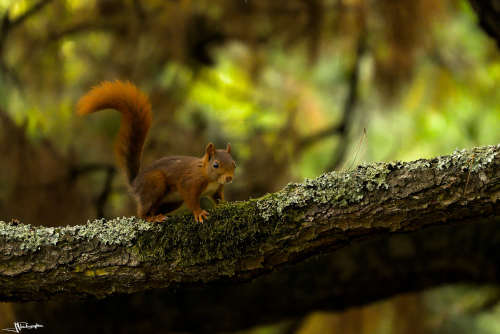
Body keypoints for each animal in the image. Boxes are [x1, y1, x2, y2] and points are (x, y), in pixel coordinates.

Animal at [76, 79, 236, 223]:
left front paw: (225, 204)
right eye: (215, 165)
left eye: (234, 164)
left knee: (154, 208)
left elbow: (218, 199)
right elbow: (191, 200)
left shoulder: (216, 190)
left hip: (171, 201)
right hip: (155, 183)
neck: (208, 176)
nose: (229, 178)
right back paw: (152, 218)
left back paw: (158, 215)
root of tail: (135, 184)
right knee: (142, 213)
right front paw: (199, 213)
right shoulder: (189, 183)